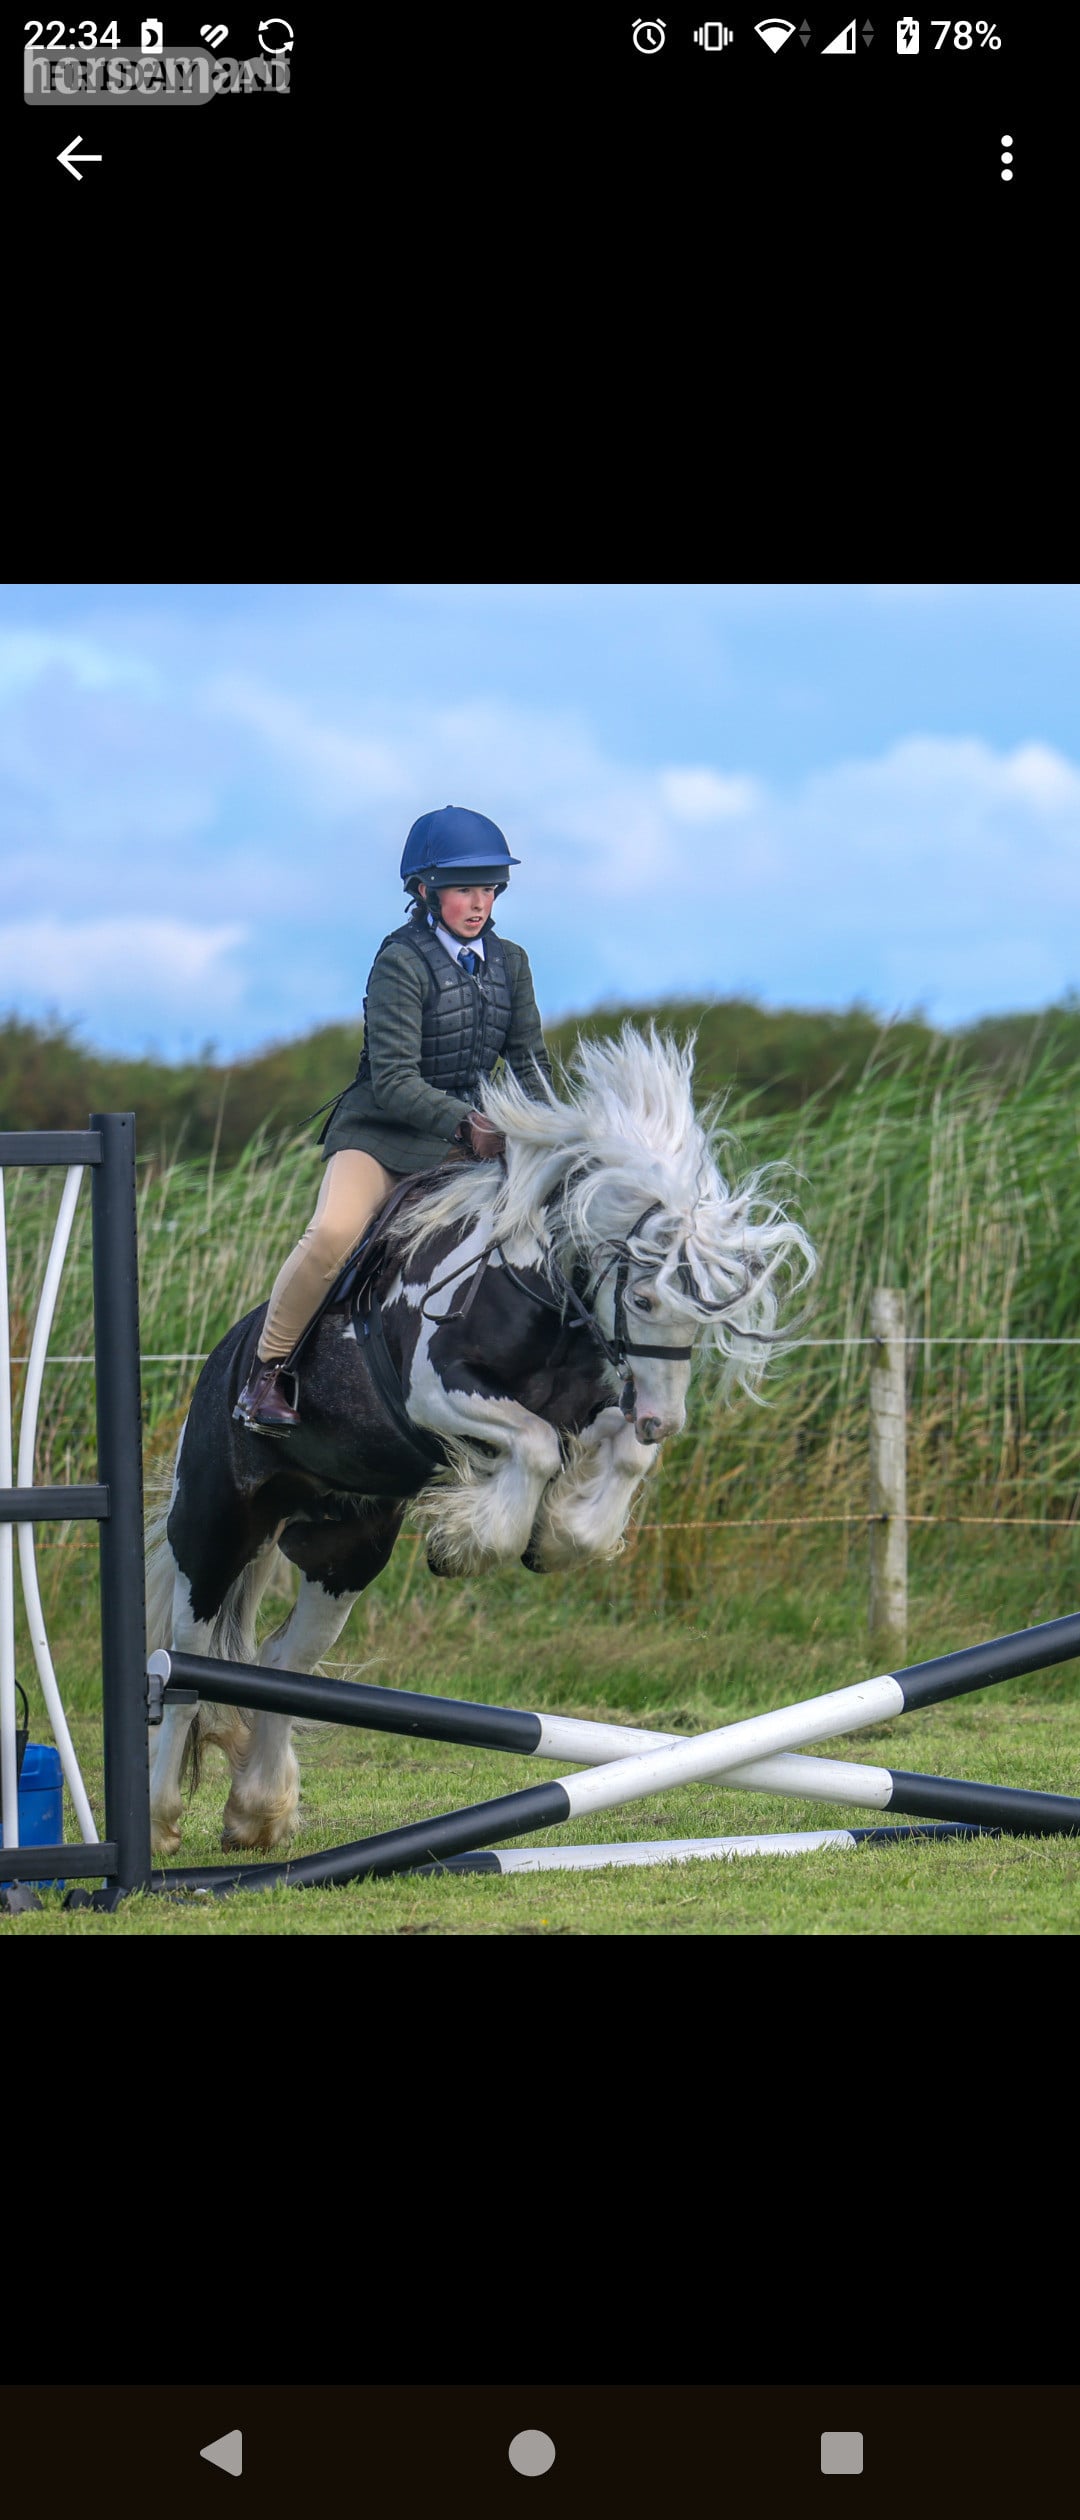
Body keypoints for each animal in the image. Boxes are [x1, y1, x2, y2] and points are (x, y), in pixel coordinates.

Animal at [145, 1025, 816, 1855]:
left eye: (707, 1309)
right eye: (645, 1296)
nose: (666, 1419)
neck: (537, 1286)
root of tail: (218, 1372)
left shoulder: (593, 1407)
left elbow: (616, 1455)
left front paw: (557, 1538)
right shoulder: (439, 1392)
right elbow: (531, 1446)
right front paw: (472, 1543)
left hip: (343, 1549)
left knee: (280, 1660)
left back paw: (256, 1814)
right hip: (213, 1529)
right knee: (186, 1666)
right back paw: (160, 1821)